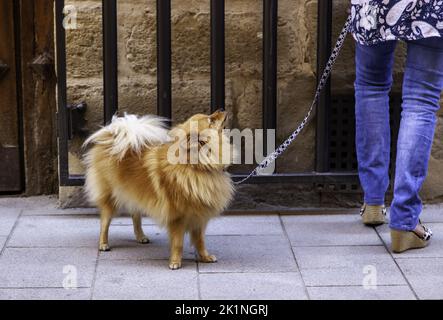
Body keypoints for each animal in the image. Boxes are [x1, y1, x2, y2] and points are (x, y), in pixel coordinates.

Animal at [84, 110, 236, 270]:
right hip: (111, 197)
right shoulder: (178, 217)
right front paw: (175, 262)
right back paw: (103, 244)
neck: (196, 166)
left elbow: (200, 241)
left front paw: (205, 257)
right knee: (105, 222)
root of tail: (112, 137)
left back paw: (141, 237)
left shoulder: (199, 217)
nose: (221, 110)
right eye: (210, 120)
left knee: (135, 216)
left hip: (135, 195)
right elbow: (178, 243)